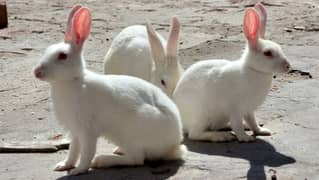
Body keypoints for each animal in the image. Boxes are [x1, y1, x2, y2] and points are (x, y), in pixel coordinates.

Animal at [32, 4, 188, 175]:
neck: (72, 81)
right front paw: (63, 166)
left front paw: (78, 170)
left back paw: (102, 161)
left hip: (130, 132)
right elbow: (73, 150)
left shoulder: (87, 130)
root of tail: (173, 145)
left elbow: (87, 152)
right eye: (48, 50)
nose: (36, 72)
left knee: (136, 159)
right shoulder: (75, 131)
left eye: (62, 56)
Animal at [174, 3, 292, 142]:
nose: (288, 66)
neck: (253, 70)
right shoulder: (235, 109)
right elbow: (237, 125)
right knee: (195, 134)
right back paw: (221, 136)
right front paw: (246, 138)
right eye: (267, 53)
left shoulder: (249, 110)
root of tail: (182, 123)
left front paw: (262, 131)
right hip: (201, 115)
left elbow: (253, 122)